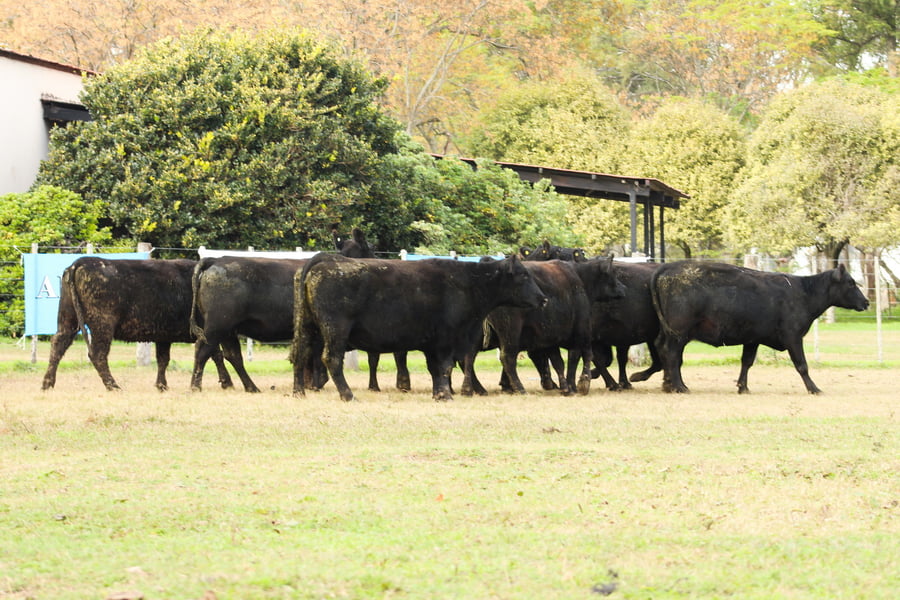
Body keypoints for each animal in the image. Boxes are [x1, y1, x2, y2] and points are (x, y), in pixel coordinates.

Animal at [41, 257, 233, 392]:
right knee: (97, 354)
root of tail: (81, 262)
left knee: (58, 344)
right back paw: (113, 386)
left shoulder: (164, 335)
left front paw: (161, 385)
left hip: (68, 320)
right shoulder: (207, 332)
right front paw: (227, 382)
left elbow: (163, 359)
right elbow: (216, 355)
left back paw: (47, 383)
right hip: (102, 325)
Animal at [291, 254, 547, 402]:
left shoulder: (432, 343)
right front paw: (445, 395)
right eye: (523, 275)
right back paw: (348, 395)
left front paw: (438, 393)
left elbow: (435, 369)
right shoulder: (447, 339)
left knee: (300, 355)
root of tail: (324, 262)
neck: (469, 283)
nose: (543, 299)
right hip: (336, 329)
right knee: (331, 359)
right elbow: (444, 367)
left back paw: (298, 392)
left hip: (306, 326)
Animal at [485, 257, 624, 396]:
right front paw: (581, 384)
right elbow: (583, 356)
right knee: (508, 358)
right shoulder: (581, 331)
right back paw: (520, 389)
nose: (623, 288)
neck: (580, 279)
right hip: (511, 333)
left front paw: (566, 386)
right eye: (613, 273)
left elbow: (559, 362)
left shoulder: (551, 340)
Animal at [650, 261, 869, 394]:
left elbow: (746, 362)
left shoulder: (752, 339)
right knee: (672, 354)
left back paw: (670, 384)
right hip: (678, 333)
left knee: (664, 350)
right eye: (851, 283)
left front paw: (742, 387)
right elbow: (802, 365)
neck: (804, 292)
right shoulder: (793, 337)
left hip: (670, 332)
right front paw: (814, 388)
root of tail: (668, 268)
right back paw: (679, 386)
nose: (866, 302)